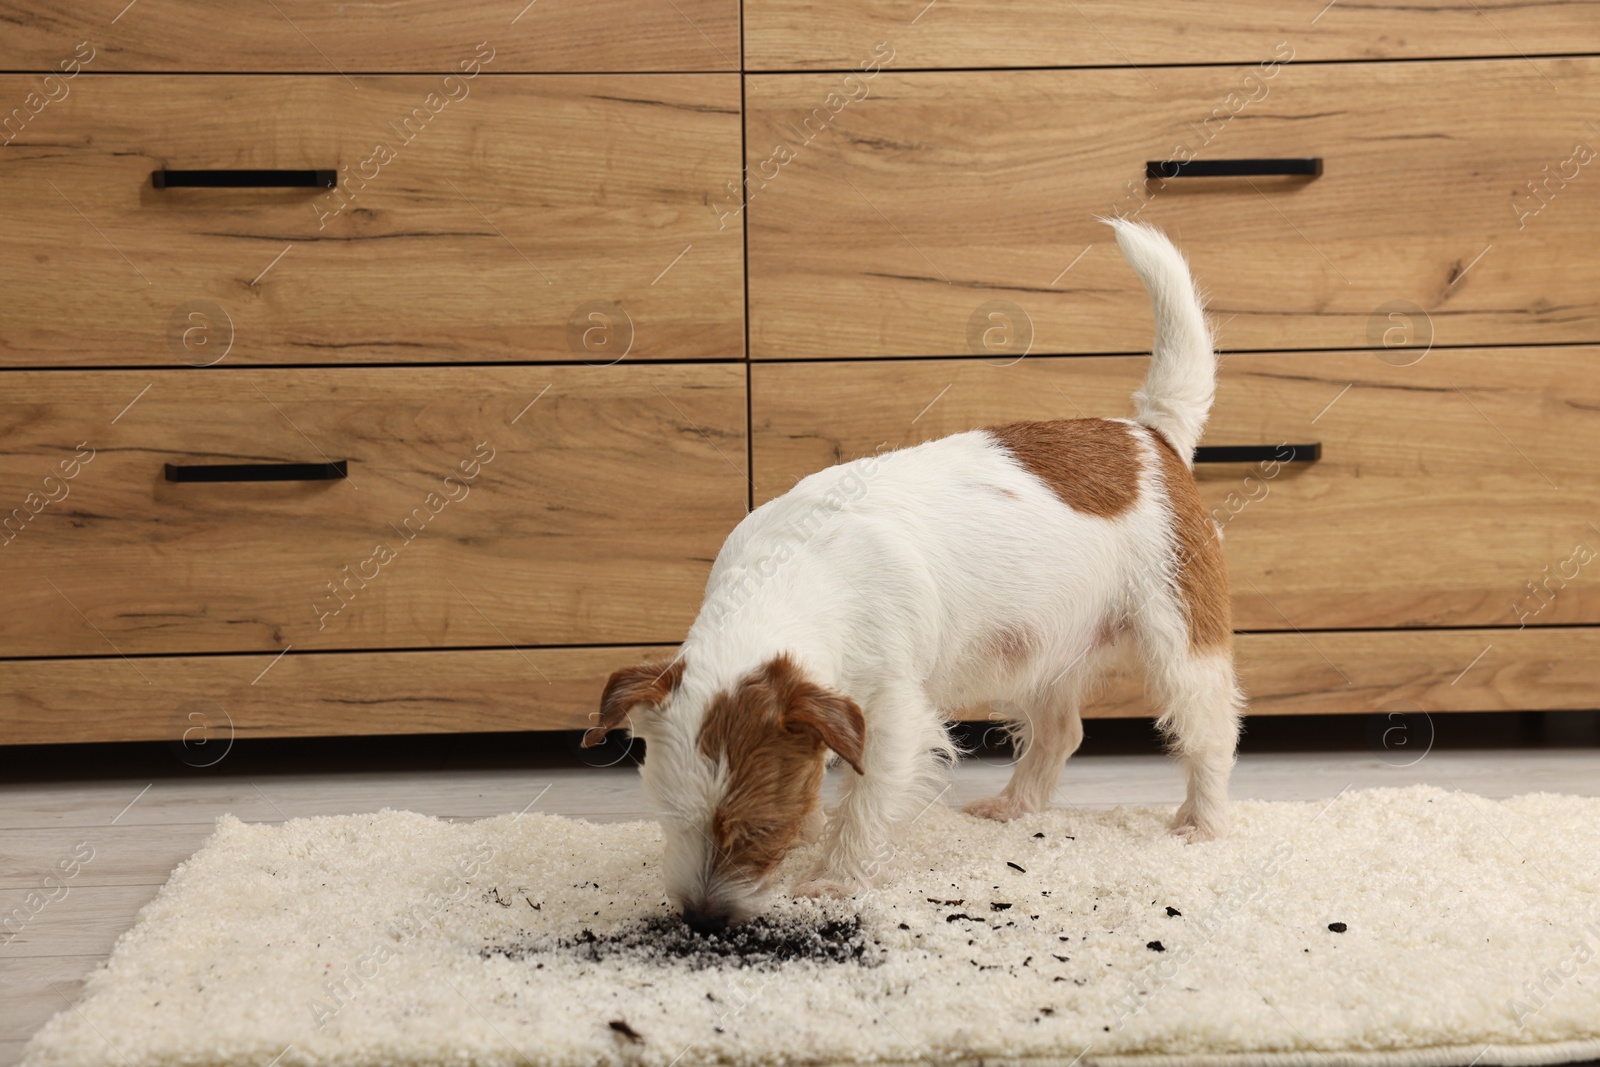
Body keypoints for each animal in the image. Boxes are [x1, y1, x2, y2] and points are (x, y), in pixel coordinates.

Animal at [582, 220, 1241, 927]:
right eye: (668, 819)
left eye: (759, 830)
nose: (703, 918)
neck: (795, 573)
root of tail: (1150, 435)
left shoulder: (893, 718)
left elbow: (866, 801)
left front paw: (834, 877)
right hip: (1035, 648)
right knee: (1061, 732)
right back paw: (1014, 806)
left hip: (1178, 641)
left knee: (1210, 730)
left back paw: (1202, 823)